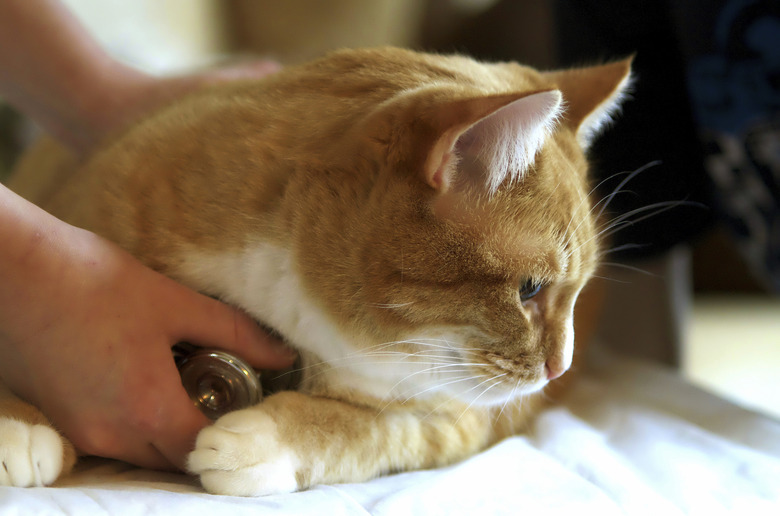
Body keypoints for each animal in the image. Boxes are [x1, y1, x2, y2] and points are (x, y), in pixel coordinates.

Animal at [1, 48, 628, 496]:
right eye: (530, 290)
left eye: (574, 293)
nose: (560, 368)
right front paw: (16, 422)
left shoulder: (457, 419)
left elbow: (374, 428)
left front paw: (265, 439)